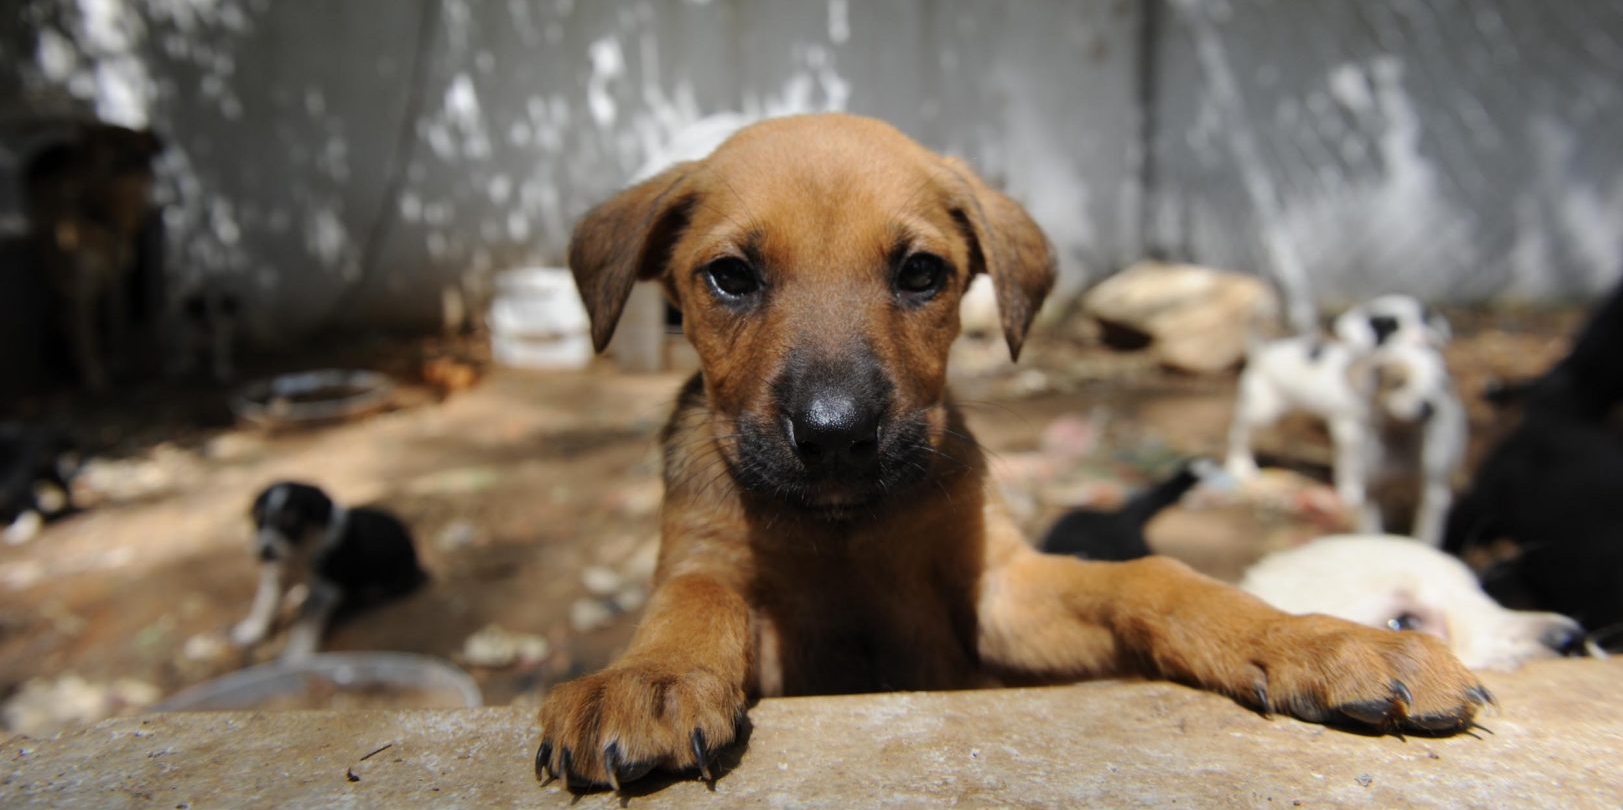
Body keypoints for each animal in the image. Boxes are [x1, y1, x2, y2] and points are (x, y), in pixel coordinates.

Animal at [25, 123, 163, 392]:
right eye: (117, 152)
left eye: (142, 152)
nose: (145, 171)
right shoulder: (83, 284)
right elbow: (86, 334)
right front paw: (94, 376)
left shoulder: (117, 280)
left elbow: (117, 322)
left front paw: (117, 360)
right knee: (67, 311)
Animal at [235, 480, 428, 659]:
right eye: (259, 521)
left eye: (292, 523)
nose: (265, 552)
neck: (301, 552)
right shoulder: (277, 575)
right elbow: (264, 604)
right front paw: (252, 631)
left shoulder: (325, 590)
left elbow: (305, 624)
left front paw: (296, 655)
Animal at [538, 114, 1486, 792]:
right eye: (729, 277)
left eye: (921, 273)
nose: (837, 436)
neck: (845, 529)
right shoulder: (727, 581)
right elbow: (695, 598)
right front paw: (652, 677)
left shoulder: (998, 592)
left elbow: (1153, 580)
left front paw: (1319, 642)